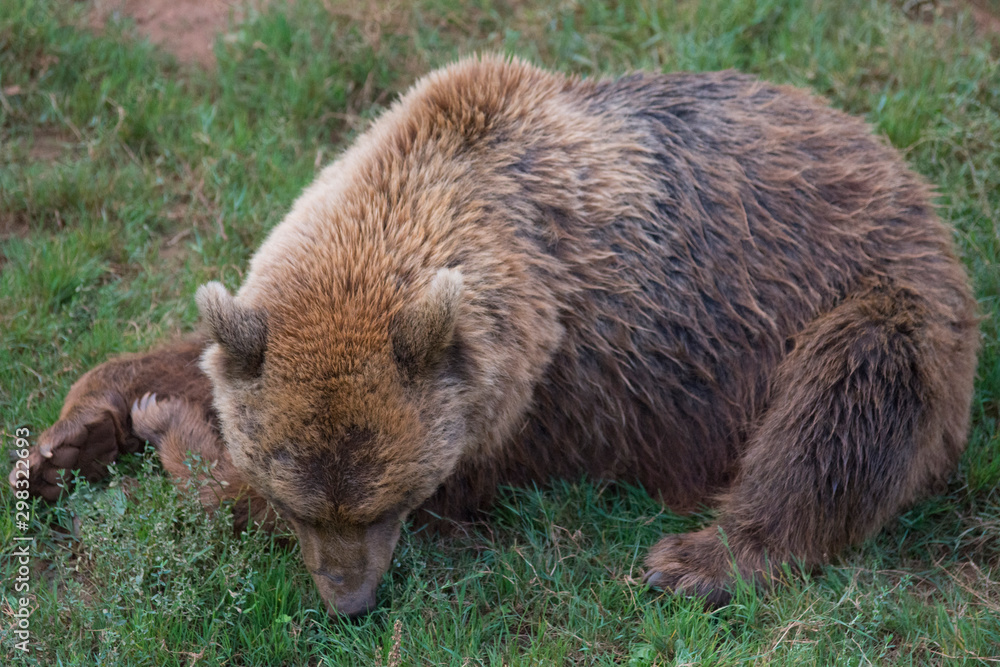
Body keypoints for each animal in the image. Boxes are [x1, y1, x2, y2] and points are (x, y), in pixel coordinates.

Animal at [15, 55, 979, 617]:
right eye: (308, 504)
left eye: (386, 501)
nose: (349, 600)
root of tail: (908, 181)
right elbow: (201, 355)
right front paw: (76, 434)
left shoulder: (559, 390)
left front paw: (168, 432)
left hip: (868, 297)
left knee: (845, 400)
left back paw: (702, 558)